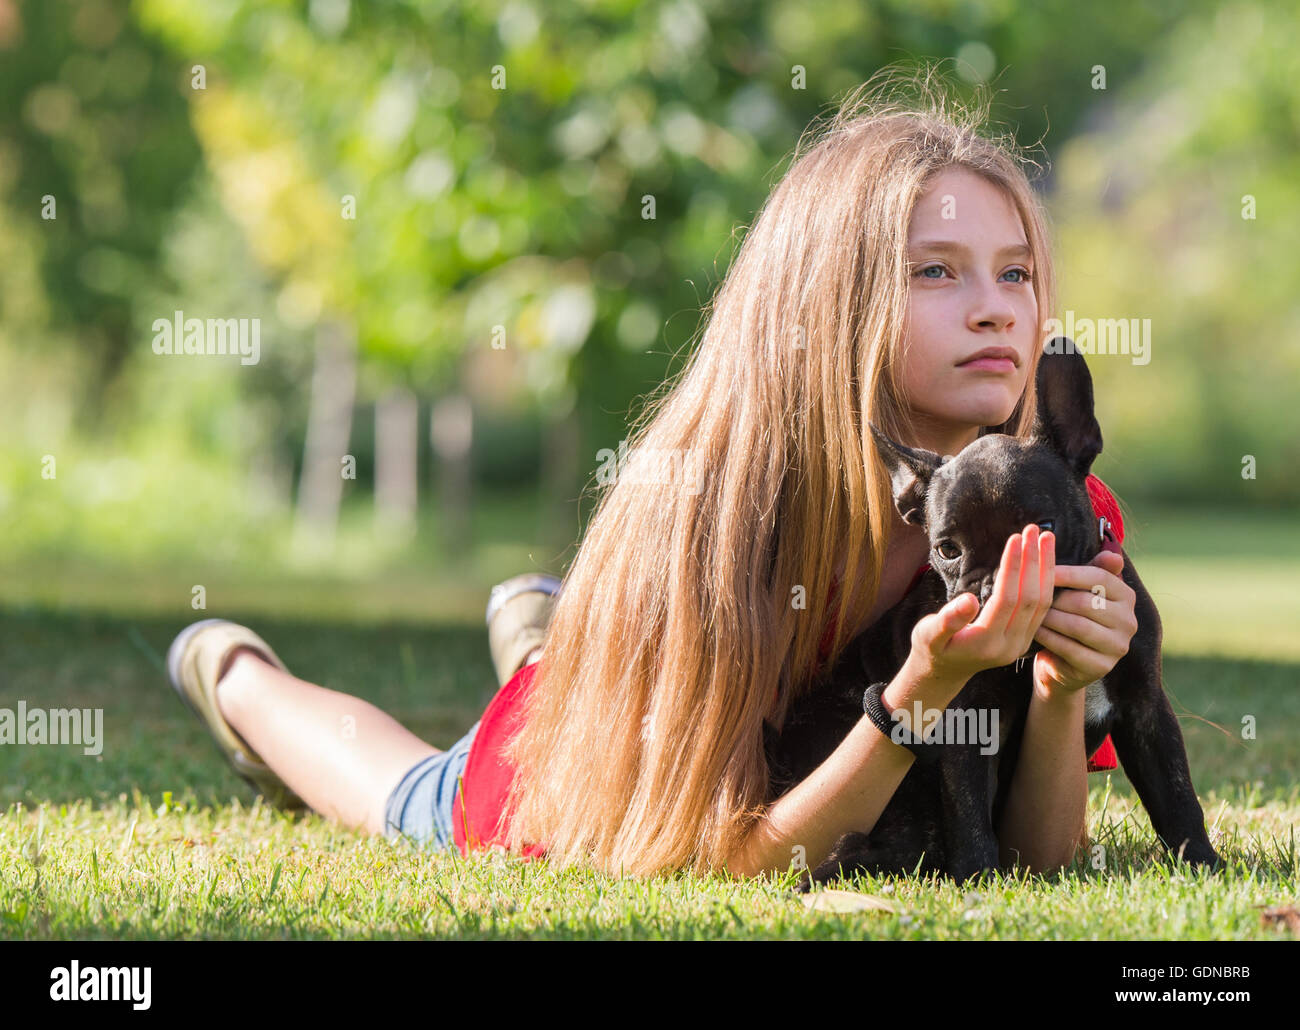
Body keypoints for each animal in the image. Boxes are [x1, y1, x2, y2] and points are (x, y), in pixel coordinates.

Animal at [759, 340, 1216, 884]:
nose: (997, 586)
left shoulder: (1147, 707)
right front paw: (978, 878)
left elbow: (1177, 796)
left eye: (1043, 529)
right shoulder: (970, 721)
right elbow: (970, 811)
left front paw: (1205, 863)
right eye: (947, 549)